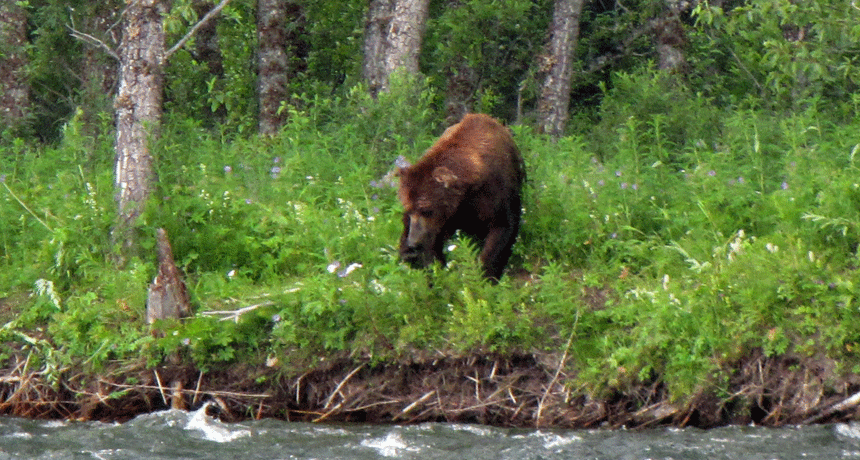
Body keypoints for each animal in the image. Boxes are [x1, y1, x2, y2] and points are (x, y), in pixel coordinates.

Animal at [396, 113, 525, 281]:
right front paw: (438, 272)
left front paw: (485, 274)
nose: (414, 242)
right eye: (409, 208)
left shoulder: (495, 194)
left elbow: (502, 229)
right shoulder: (449, 216)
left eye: (426, 209)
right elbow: (432, 247)